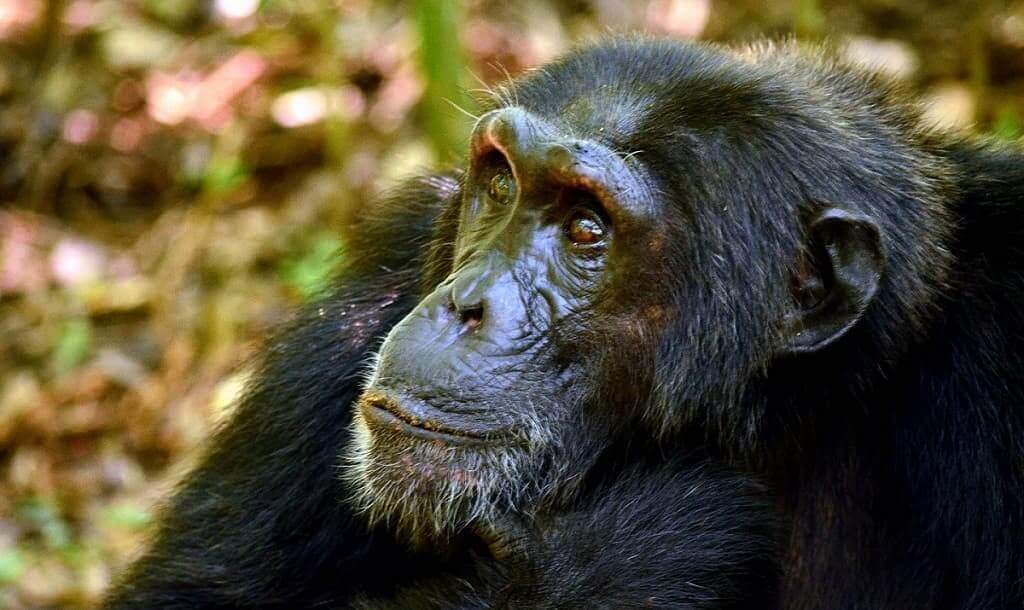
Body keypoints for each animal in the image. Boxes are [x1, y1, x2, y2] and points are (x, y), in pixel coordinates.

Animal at [105, 38, 1024, 610]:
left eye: (587, 231)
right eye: (502, 184)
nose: (465, 302)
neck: (784, 414)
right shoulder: (373, 294)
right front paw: (638, 545)